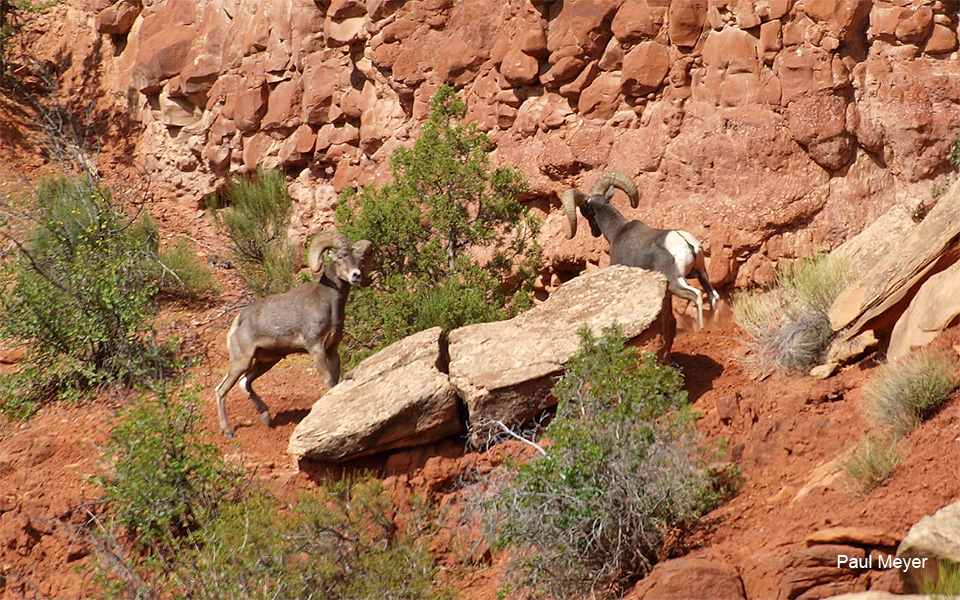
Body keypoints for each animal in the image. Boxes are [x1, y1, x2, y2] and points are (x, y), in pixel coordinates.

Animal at [216, 232, 374, 438]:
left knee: (245, 383)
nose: (356, 275)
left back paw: (265, 417)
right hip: (241, 362)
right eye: (340, 257)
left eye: (361, 259)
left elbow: (337, 381)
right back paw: (228, 431)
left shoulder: (332, 351)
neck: (329, 304)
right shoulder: (316, 348)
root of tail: (238, 321)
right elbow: (329, 381)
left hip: (267, 361)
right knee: (222, 390)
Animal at [564, 171, 720, 330]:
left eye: (584, 211)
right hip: (701, 273)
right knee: (713, 296)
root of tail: (687, 243)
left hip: (675, 281)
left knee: (696, 295)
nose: (594, 232)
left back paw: (700, 328)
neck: (617, 233)